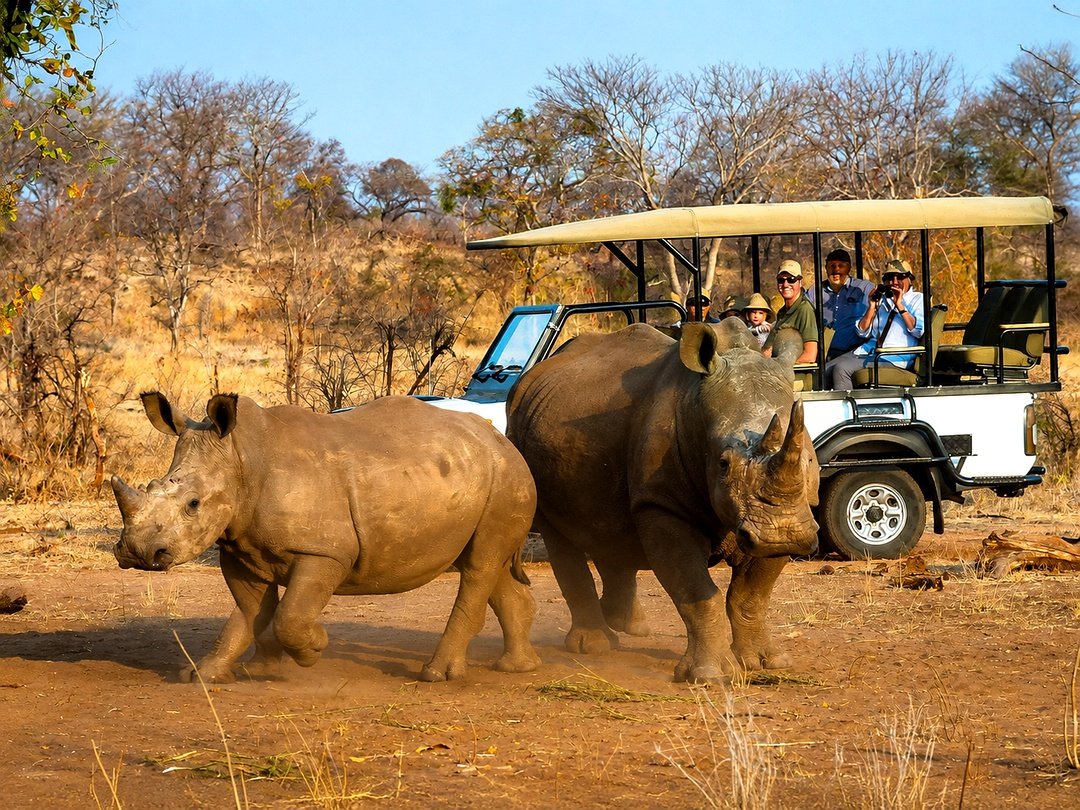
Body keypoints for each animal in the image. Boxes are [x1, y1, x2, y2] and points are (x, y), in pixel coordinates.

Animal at [112, 392, 541, 684]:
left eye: (193, 504)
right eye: (150, 486)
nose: (137, 552)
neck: (242, 459)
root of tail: (505, 441)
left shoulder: (324, 552)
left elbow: (289, 614)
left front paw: (313, 650)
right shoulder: (238, 545)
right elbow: (251, 610)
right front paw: (217, 673)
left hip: (506, 477)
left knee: (480, 565)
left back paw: (436, 675)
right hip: (484, 476)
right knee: (490, 566)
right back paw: (517, 667)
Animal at [505, 320, 819, 683]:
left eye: (809, 460)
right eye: (723, 464)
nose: (781, 535)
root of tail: (530, 375)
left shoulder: (788, 515)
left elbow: (750, 596)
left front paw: (765, 663)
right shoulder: (661, 503)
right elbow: (696, 593)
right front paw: (708, 675)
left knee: (609, 525)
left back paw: (628, 626)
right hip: (518, 437)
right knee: (560, 535)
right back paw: (594, 645)